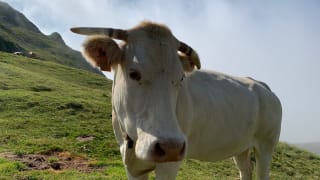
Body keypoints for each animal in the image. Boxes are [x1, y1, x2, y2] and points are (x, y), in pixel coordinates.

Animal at [71, 21, 282, 180]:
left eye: (180, 78)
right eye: (133, 73)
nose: (170, 147)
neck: (132, 142)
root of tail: (261, 85)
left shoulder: (170, 164)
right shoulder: (131, 166)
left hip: (266, 144)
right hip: (241, 147)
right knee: (245, 170)